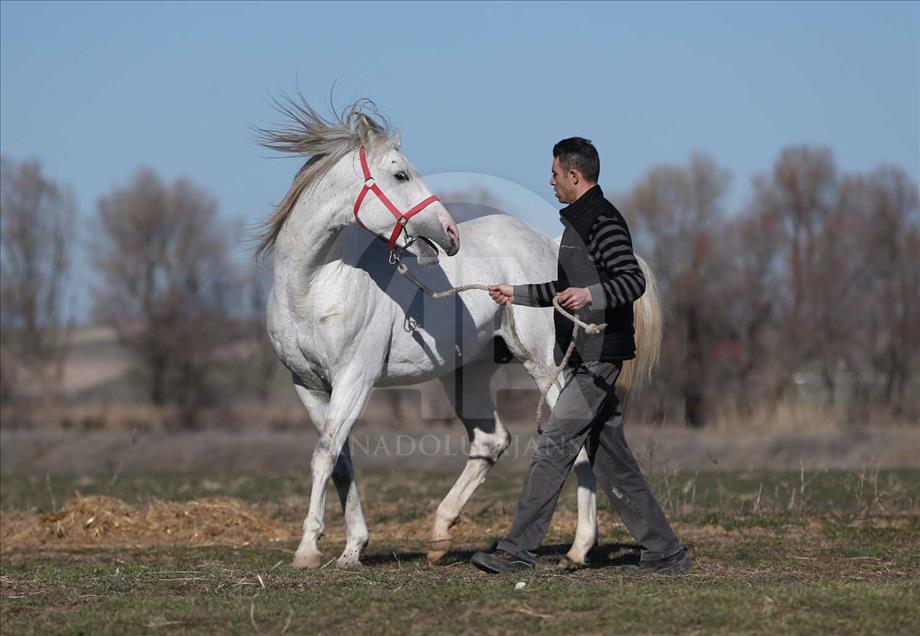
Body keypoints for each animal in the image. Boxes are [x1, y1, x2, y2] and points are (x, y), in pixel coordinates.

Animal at [258, 97, 661, 568]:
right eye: (400, 174)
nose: (449, 232)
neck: (314, 287)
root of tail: (547, 245)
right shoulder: (307, 383)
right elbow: (339, 459)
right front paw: (353, 547)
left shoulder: (355, 378)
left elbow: (324, 455)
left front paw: (308, 550)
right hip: (468, 374)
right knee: (491, 441)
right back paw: (439, 537)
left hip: (545, 365)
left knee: (573, 442)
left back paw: (579, 548)